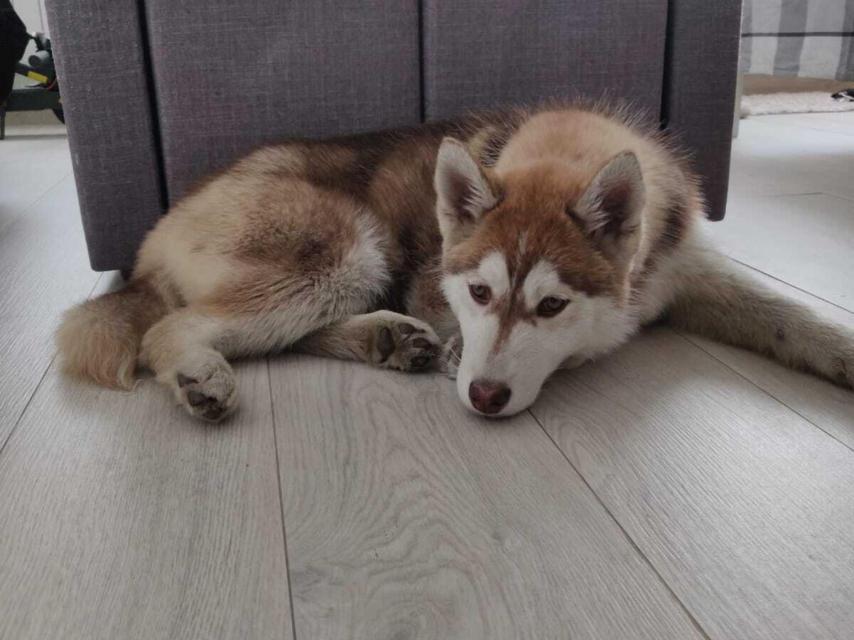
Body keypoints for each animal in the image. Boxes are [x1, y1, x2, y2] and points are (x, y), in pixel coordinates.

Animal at [58, 104, 854, 420]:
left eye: (552, 305)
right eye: (477, 292)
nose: (484, 397)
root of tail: (157, 231)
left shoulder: (688, 271)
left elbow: (792, 317)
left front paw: (841, 352)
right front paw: (448, 351)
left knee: (278, 334)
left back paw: (383, 338)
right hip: (347, 247)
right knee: (175, 328)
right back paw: (200, 373)